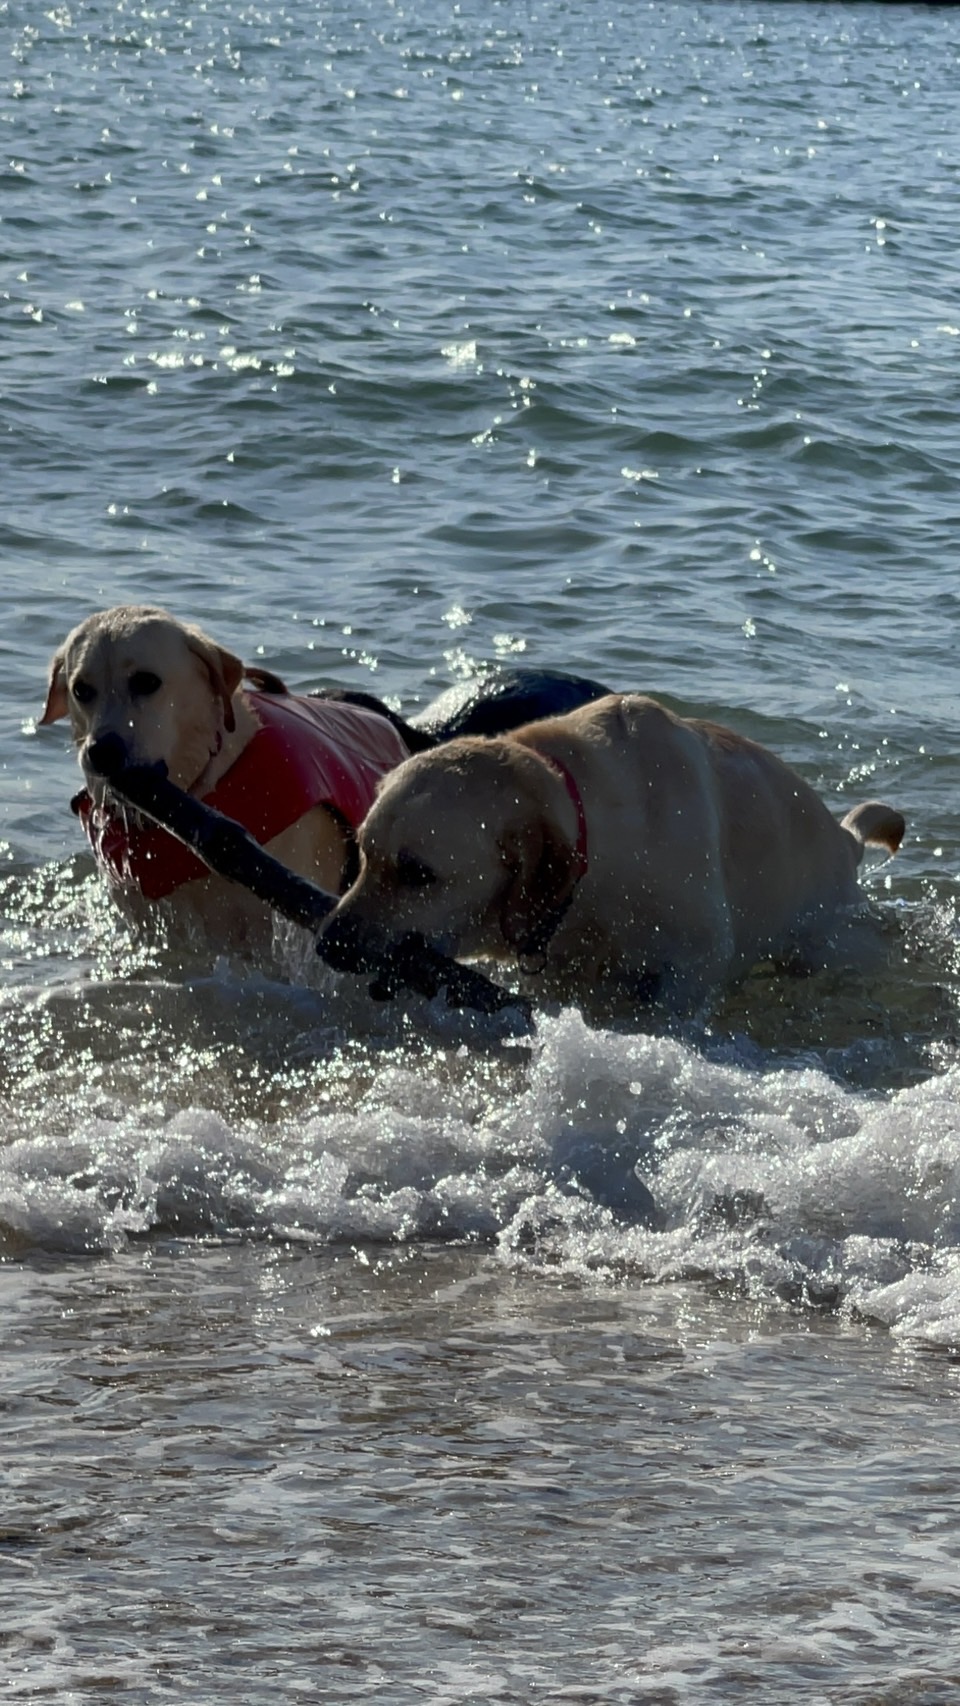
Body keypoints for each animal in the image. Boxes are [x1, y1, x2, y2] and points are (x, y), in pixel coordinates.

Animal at [318, 692, 907, 1009]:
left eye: (418, 873)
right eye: (363, 855)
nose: (327, 945)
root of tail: (845, 841)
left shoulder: (693, 964)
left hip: (828, 944)